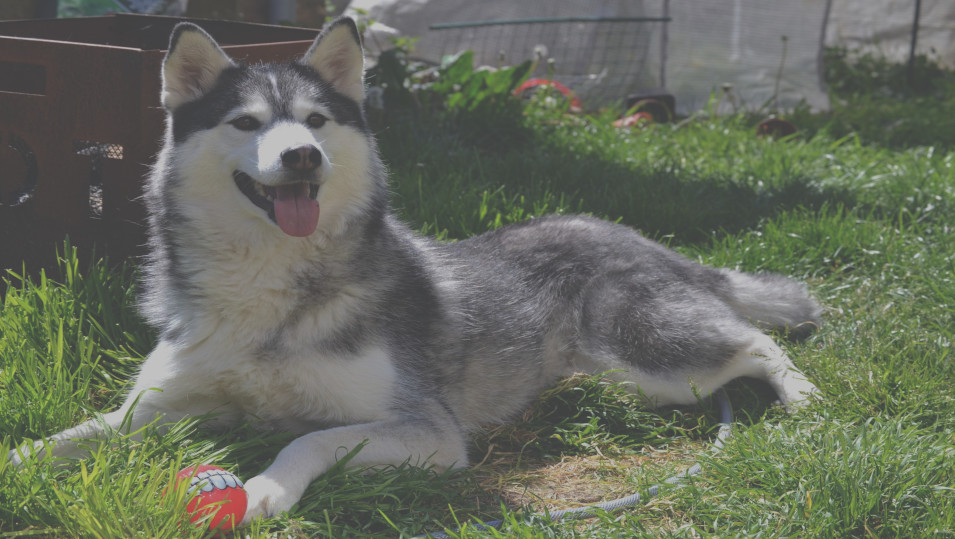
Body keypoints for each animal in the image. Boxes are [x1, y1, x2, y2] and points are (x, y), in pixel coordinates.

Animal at [9, 19, 820, 524]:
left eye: (316, 121)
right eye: (246, 123)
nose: (301, 155)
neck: (268, 292)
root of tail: (631, 232)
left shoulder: (425, 430)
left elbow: (309, 439)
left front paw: (266, 486)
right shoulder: (148, 412)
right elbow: (73, 435)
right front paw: (19, 459)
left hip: (655, 357)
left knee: (754, 342)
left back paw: (805, 399)